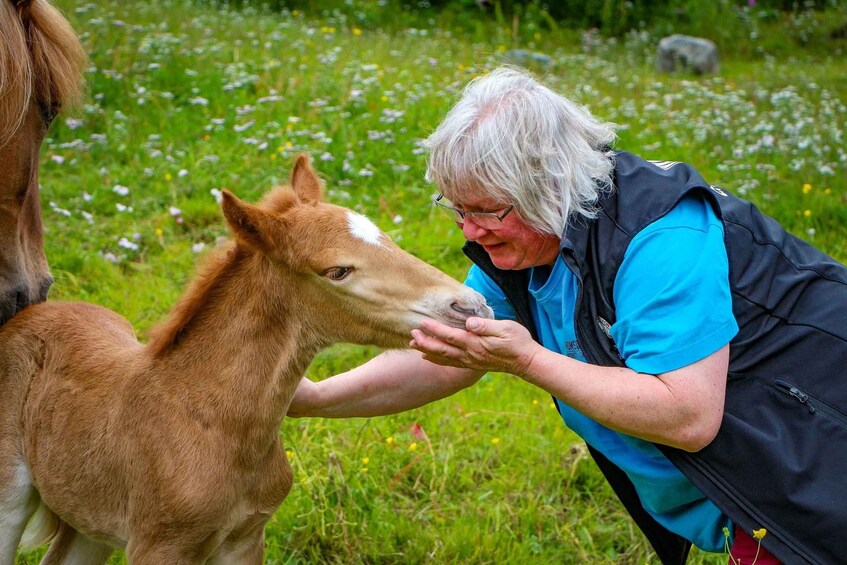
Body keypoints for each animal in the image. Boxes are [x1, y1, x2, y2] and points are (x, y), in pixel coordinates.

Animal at [0, 155, 496, 564]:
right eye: (337, 271)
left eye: (387, 239)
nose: (471, 305)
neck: (211, 423)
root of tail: (26, 317)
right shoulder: (159, 547)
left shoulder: (245, 538)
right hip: (10, 502)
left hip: (89, 520)